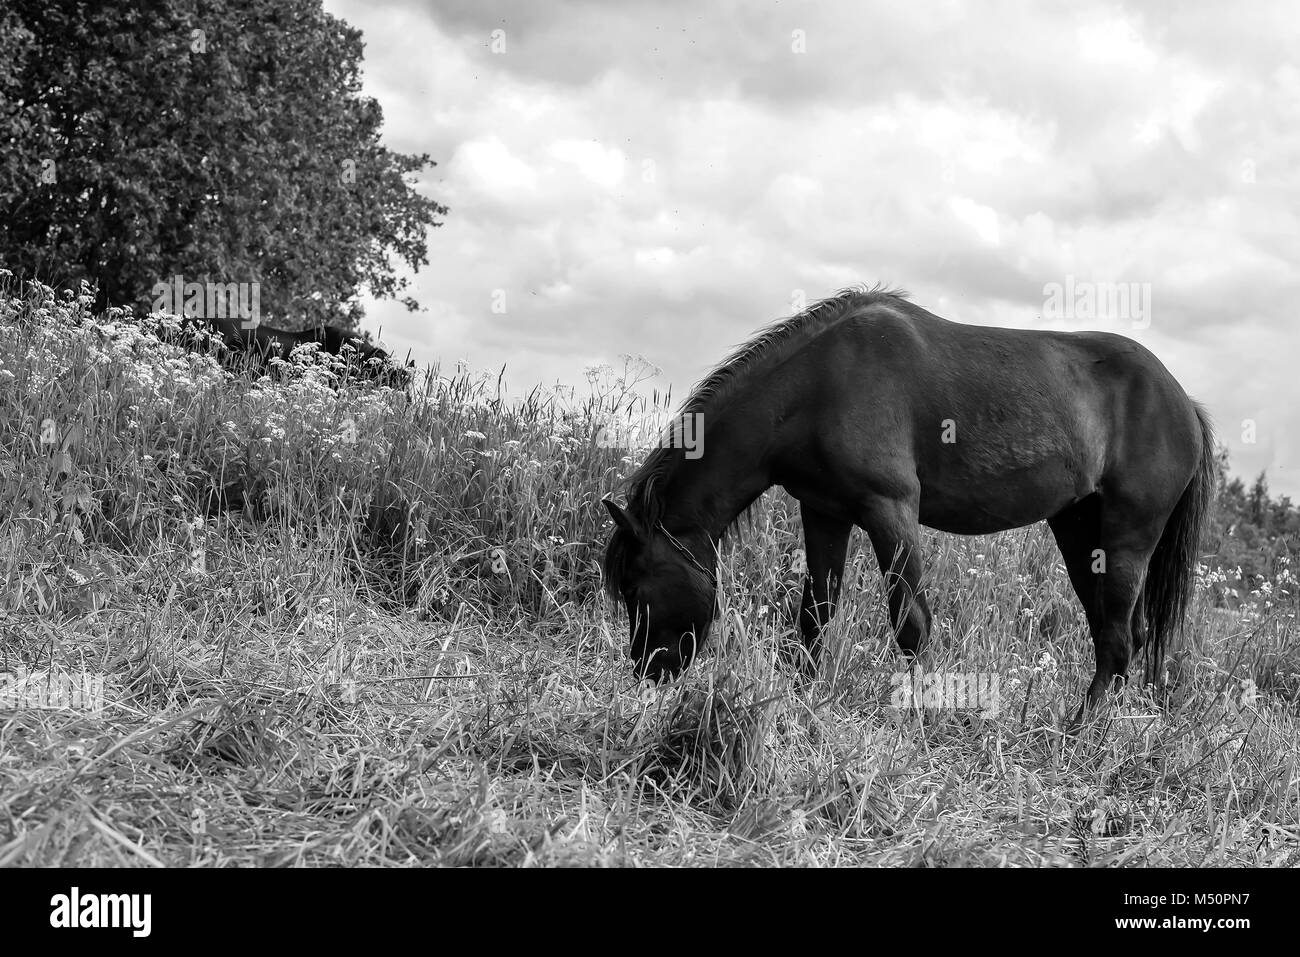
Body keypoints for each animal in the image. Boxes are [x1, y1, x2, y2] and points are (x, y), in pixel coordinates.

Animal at [602, 286, 1214, 716]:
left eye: (634, 588)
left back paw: (1080, 732)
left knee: (1116, 639)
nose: (647, 675)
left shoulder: (889, 509)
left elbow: (911, 621)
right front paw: (799, 702)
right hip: (1079, 530)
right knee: (1121, 633)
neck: (818, 385)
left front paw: (914, 717)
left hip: (1129, 536)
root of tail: (1183, 401)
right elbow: (816, 614)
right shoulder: (824, 511)